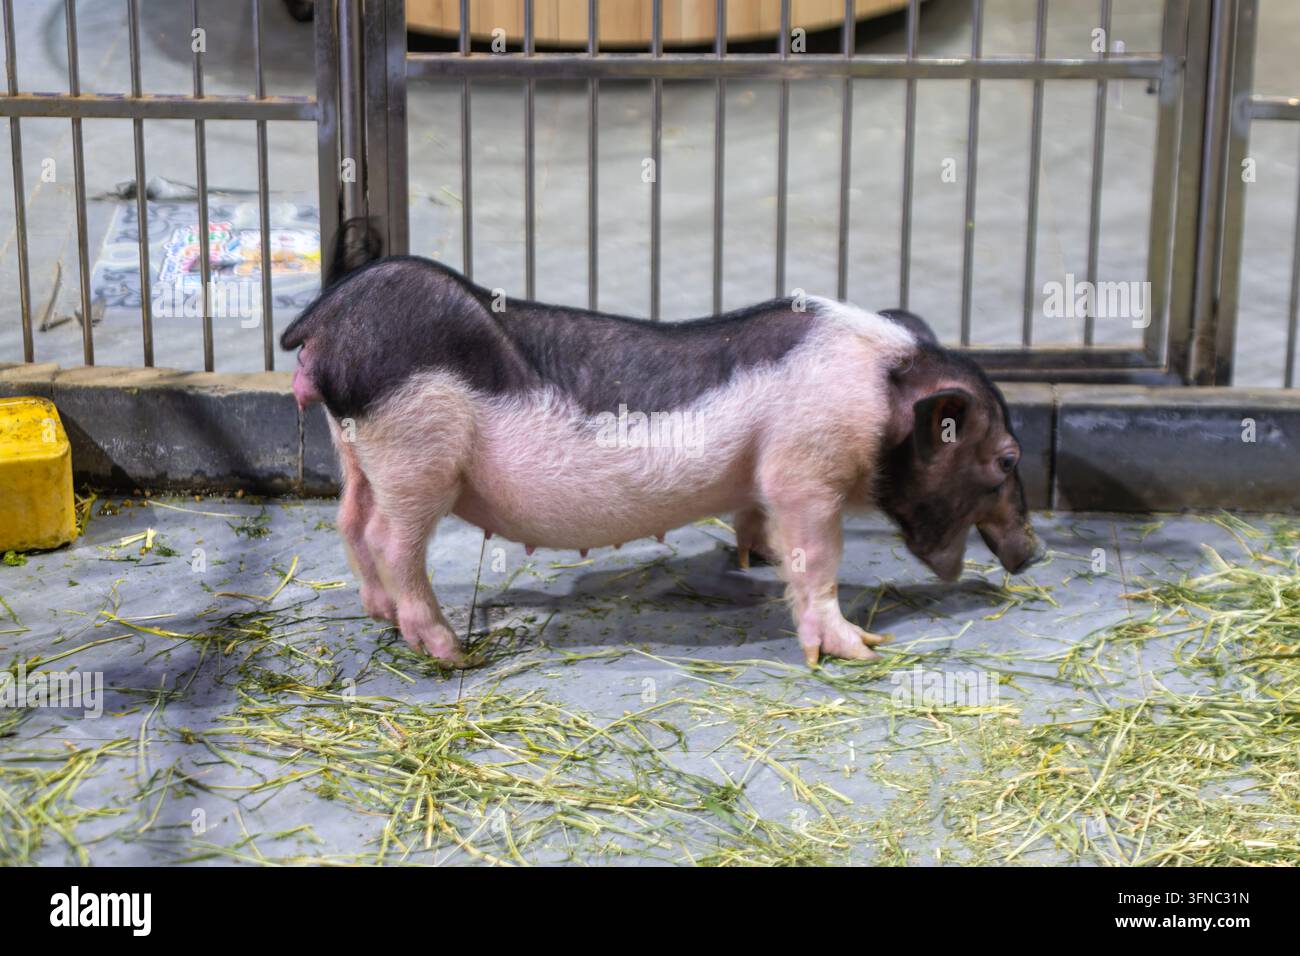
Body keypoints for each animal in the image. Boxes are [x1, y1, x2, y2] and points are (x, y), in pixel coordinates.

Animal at [281, 221, 1045, 668]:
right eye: (1007, 459)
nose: (1036, 554)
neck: (881, 391)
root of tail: (326, 317)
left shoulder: (766, 473)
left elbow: (759, 519)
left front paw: (756, 560)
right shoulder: (807, 467)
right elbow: (818, 556)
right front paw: (859, 650)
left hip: (357, 447)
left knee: (349, 520)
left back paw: (381, 616)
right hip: (416, 452)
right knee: (391, 540)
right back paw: (451, 652)